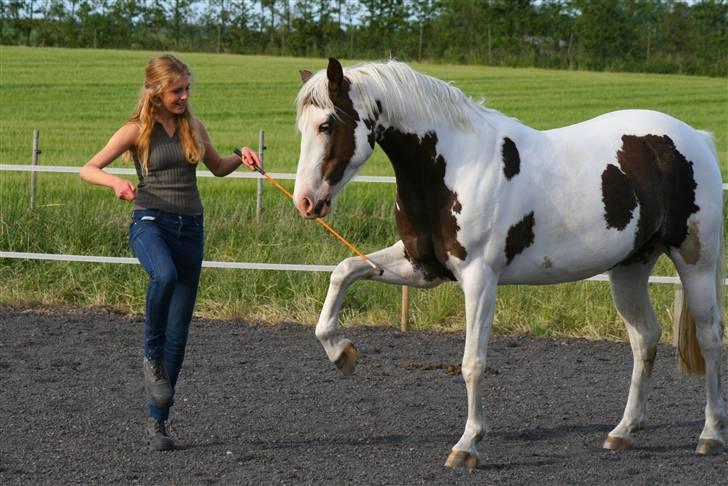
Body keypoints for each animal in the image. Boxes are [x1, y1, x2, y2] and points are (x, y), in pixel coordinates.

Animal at [292, 58, 724, 468]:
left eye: (327, 124)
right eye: (301, 127)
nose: (306, 201)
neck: (455, 167)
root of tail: (695, 139)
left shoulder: (479, 278)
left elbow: (472, 363)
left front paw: (467, 445)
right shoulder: (420, 266)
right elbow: (344, 271)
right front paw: (342, 354)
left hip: (696, 263)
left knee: (710, 338)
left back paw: (710, 435)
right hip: (630, 267)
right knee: (645, 338)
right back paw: (624, 431)